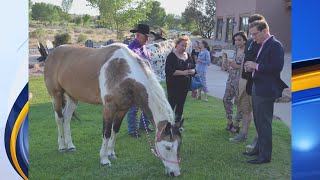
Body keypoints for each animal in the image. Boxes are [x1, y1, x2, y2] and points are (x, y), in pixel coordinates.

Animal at [43, 43, 182, 176]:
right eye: (168, 147)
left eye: (179, 145)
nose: (175, 173)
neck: (123, 71)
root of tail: (52, 53)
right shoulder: (108, 108)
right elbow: (106, 132)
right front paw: (104, 159)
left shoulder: (122, 109)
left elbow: (115, 130)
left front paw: (111, 153)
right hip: (56, 95)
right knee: (59, 118)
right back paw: (62, 146)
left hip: (73, 97)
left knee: (66, 118)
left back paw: (70, 145)